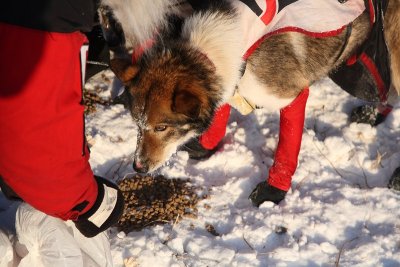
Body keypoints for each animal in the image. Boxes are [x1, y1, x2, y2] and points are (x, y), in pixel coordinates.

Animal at [108, 0, 400, 201]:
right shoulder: (231, 79)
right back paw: (373, 114)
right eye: (137, 124)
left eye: (161, 128)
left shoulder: (290, 96)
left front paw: (274, 190)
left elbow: (286, 150)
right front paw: (206, 145)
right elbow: (222, 112)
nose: (138, 166)